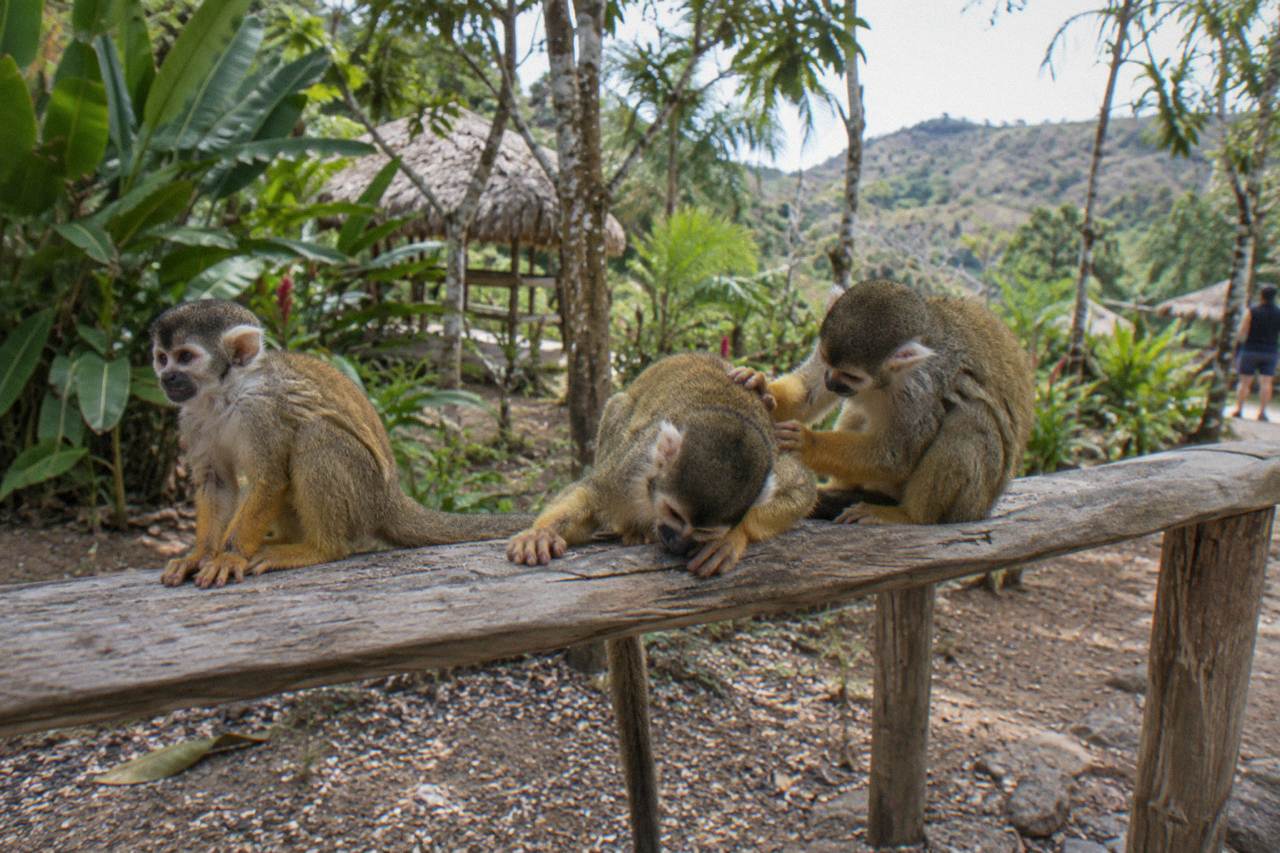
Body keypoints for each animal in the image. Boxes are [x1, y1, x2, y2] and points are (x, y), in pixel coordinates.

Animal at [150, 299, 531, 589]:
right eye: (162, 357)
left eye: (186, 357)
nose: (167, 378)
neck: (224, 395)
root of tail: (390, 498)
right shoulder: (192, 417)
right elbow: (216, 482)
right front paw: (200, 555)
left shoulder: (261, 410)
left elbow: (269, 479)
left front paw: (229, 555)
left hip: (364, 495)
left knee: (316, 435)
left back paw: (320, 548)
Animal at [506, 352, 816, 577]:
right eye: (674, 514)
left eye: (704, 532)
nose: (678, 543)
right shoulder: (632, 468)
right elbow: (591, 494)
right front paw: (542, 533)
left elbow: (803, 491)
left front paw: (730, 540)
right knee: (618, 407)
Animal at [732, 279, 1034, 587]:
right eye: (827, 361)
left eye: (851, 376)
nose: (832, 382)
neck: (885, 380)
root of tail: (986, 509)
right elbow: (808, 394)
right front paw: (760, 385)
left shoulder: (919, 387)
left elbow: (896, 457)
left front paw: (807, 442)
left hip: (971, 505)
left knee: (971, 416)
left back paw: (909, 515)